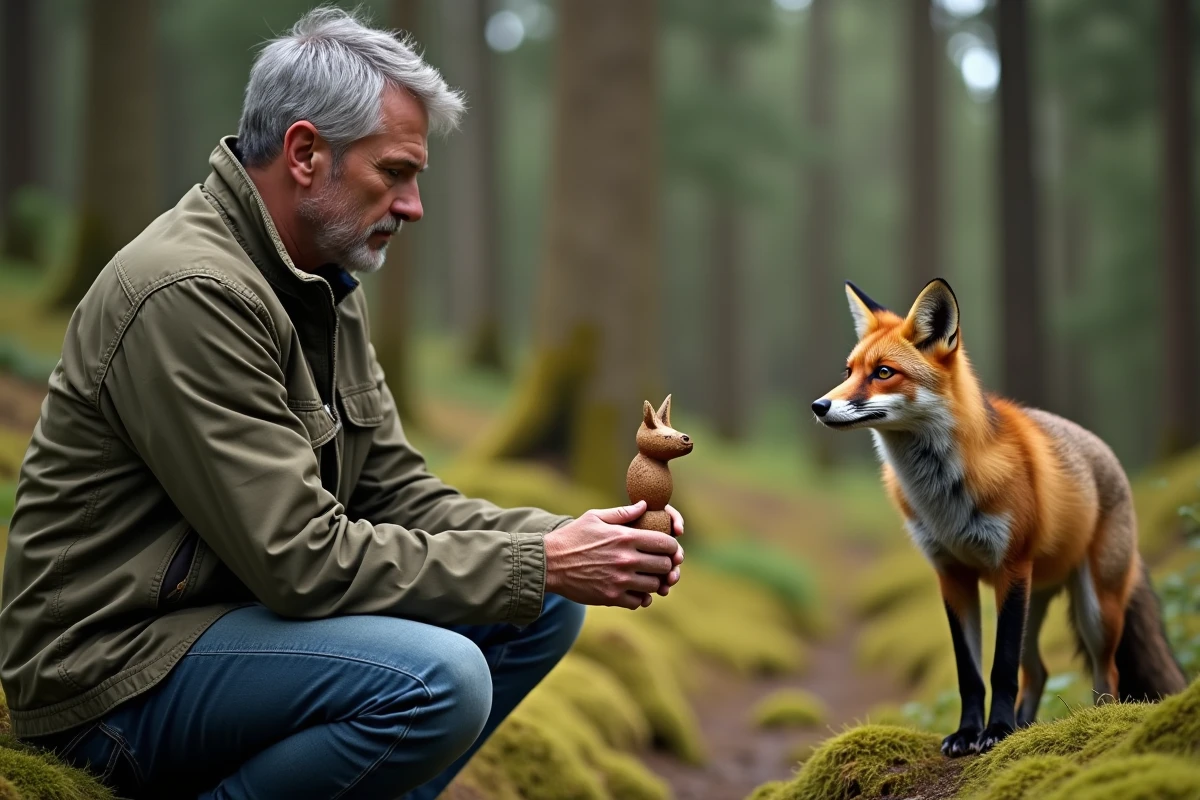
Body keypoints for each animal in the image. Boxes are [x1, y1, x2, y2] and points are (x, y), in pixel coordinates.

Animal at [812, 277, 1187, 757]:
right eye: (849, 372)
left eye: (883, 372)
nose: (819, 406)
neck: (943, 495)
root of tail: (1108, 454)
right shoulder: (951, 574)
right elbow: (970, 673)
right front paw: (969, 733)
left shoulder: (1010, 567)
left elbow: (1000, 668)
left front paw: (997, 731)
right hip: (1035, 601)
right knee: (1040, 670)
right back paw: (1026, 727)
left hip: (1093, 609)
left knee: (1107, 674)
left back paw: (1092, 723)